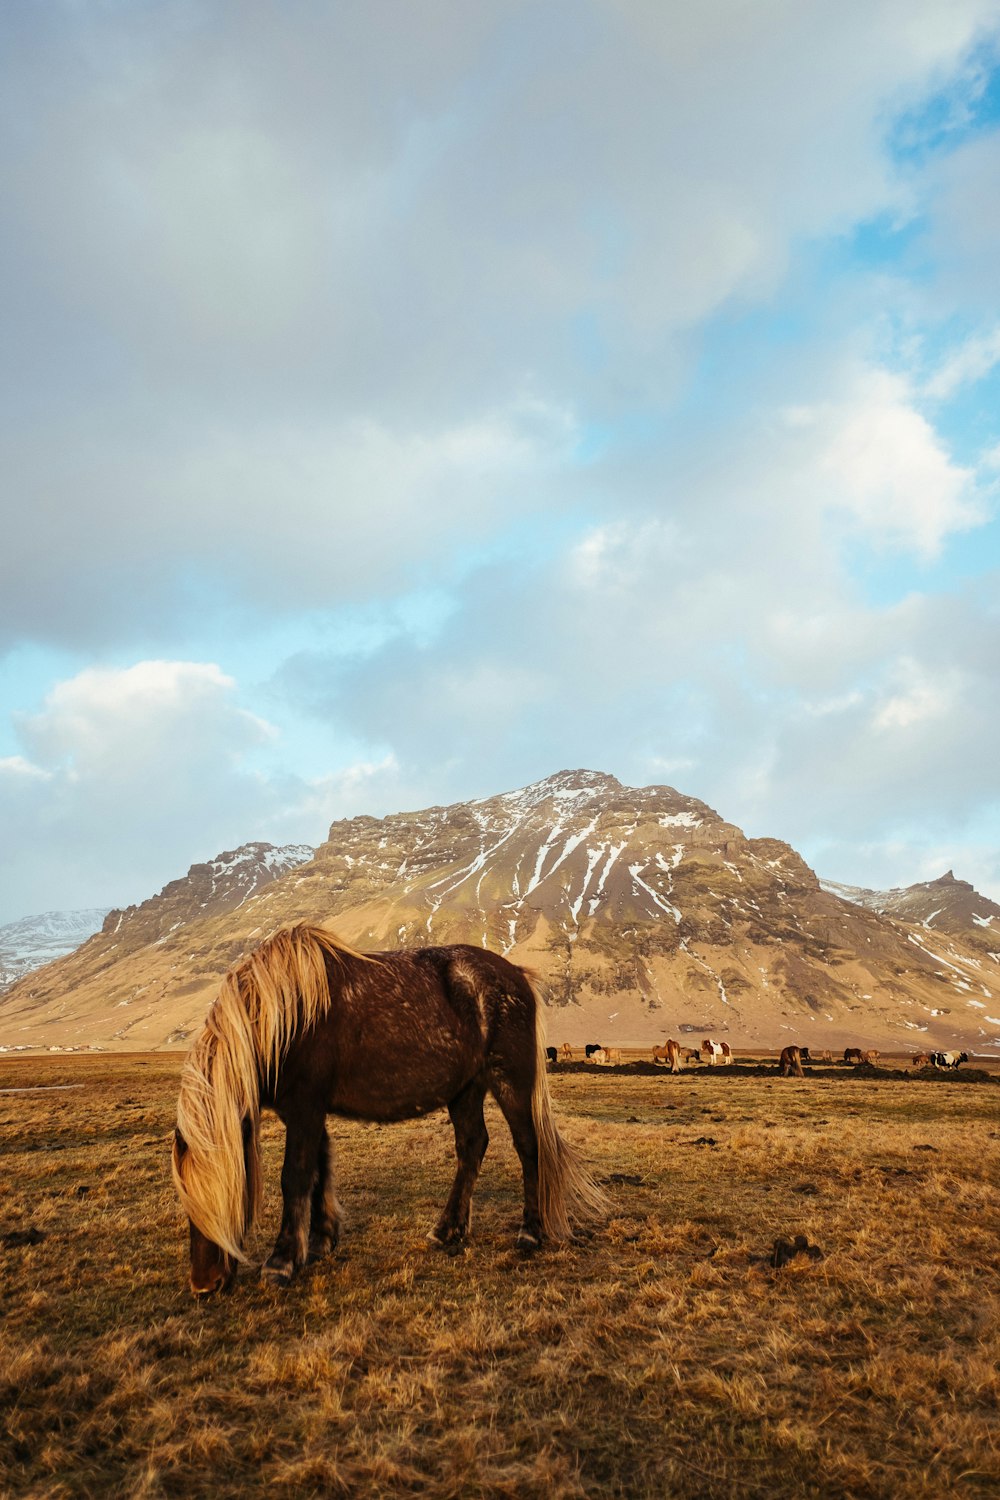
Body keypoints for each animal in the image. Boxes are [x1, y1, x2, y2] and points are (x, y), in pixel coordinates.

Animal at [169, 918, 605, 1296]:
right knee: (472, 1147)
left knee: (528, 1147)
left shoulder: (305, 1107)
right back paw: (447, 1230)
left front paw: (281, 1262)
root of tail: (516, 975)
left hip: (509, 1081)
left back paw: (529, 1233)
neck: (285, 1016)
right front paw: (321, 1240)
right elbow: (319, 1169)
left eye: (223, 1194)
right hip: (466, 1090)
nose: (204, 1286)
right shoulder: (309, 1111)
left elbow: (295, 1176)